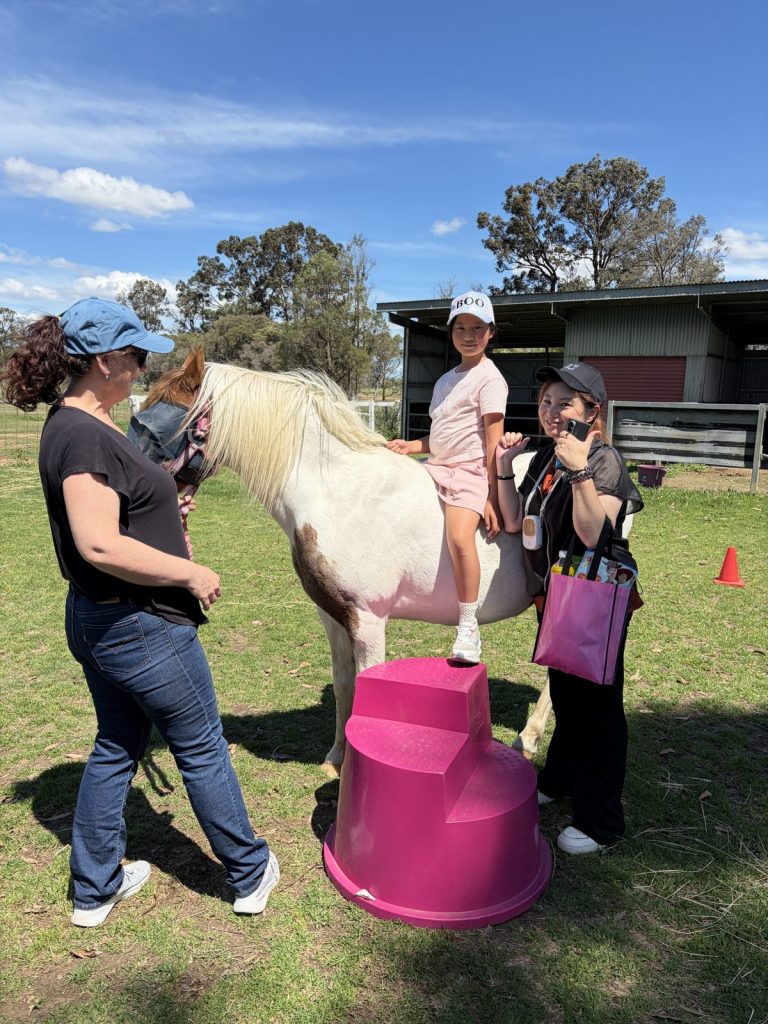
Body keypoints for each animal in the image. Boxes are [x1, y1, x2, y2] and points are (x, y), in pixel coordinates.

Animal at [129, 350, 554, 769]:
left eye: (152, 427)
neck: (339, 493)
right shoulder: (333, 614)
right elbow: (344, 683)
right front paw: (336, 757)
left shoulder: (369, 619)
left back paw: (526, 738)